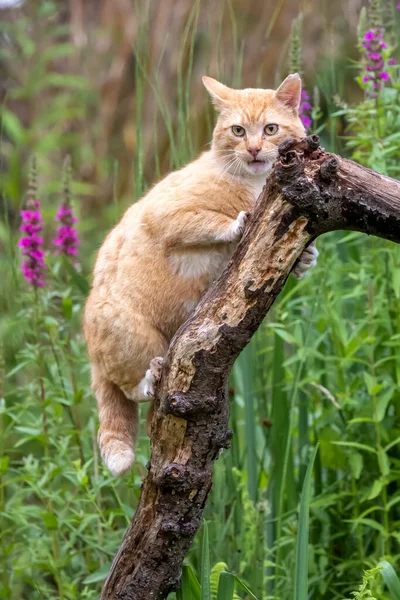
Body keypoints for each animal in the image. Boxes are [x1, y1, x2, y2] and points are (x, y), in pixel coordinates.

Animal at [84, 74, 318, 474]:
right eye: (238, 130)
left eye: (270, 129)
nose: (254, 149)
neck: (250, 184)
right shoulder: (167, 214)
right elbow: (208, 222)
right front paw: (237, 222)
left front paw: (308, 258)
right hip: (137, 339)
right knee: (131, 389)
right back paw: (150, 379)